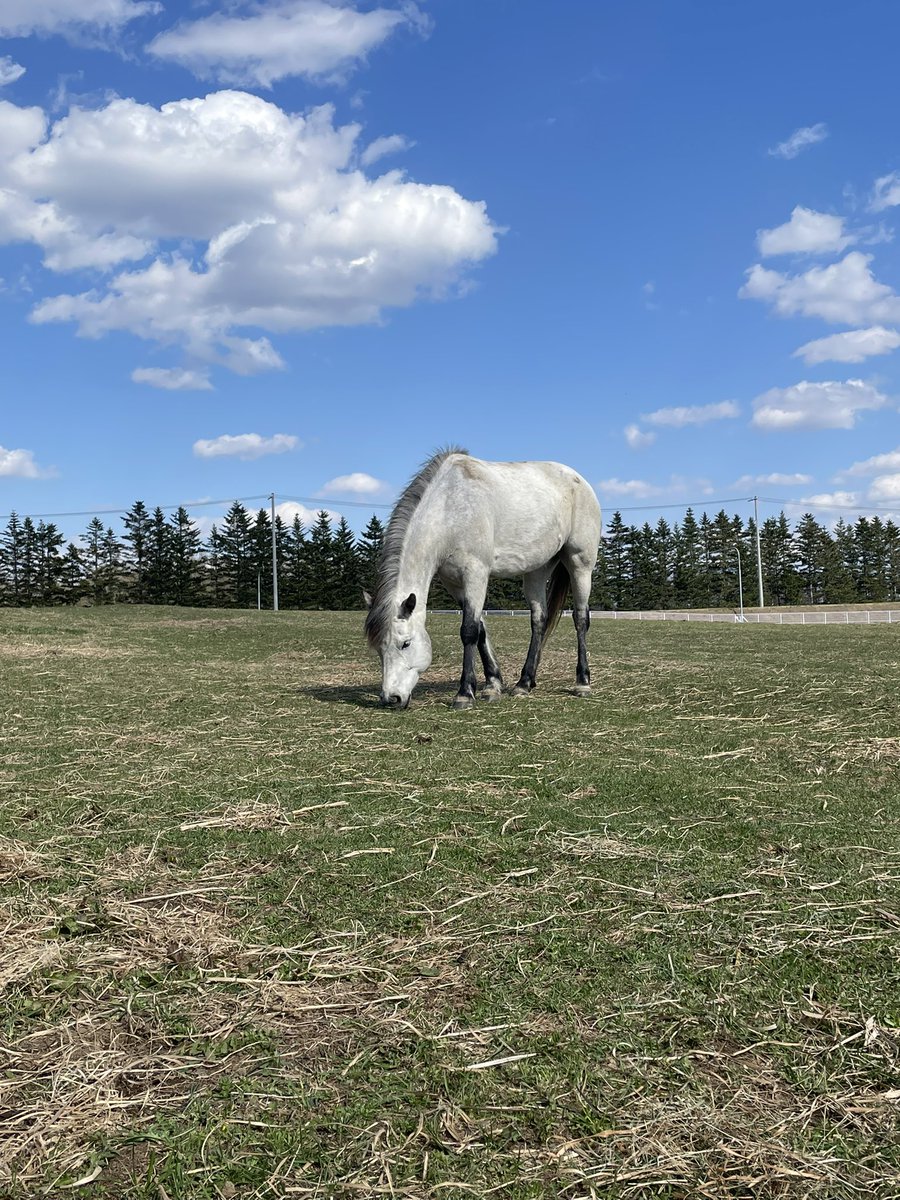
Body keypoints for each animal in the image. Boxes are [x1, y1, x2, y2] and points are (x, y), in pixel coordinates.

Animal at [364, 448, 602, 710]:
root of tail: (580, 481)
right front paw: (492, 685)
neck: (449, 507)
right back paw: (524, 683)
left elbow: (469, 630)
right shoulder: (455, 583)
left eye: (405, 643)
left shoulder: (475, 573)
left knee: (581, 619)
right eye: (378, 648)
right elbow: (480, 630)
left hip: (580, 564)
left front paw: (465, 693)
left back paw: (582, 683)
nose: (391, 698)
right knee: (539, 620)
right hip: (537, 570)